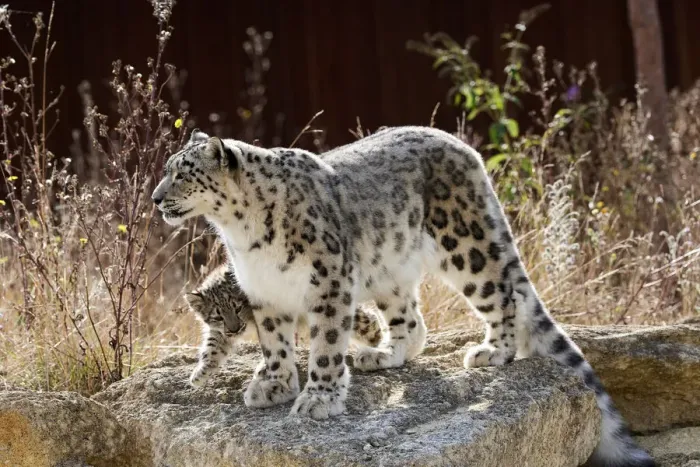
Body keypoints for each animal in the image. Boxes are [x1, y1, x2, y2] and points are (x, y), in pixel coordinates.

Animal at [186, 263, 383, 387]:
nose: (235, 329)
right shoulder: (220, 332)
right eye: (218, 316)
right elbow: (212, 345)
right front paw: (200, 372)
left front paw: (265, 367)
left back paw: (376, 340)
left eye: (238, 307)